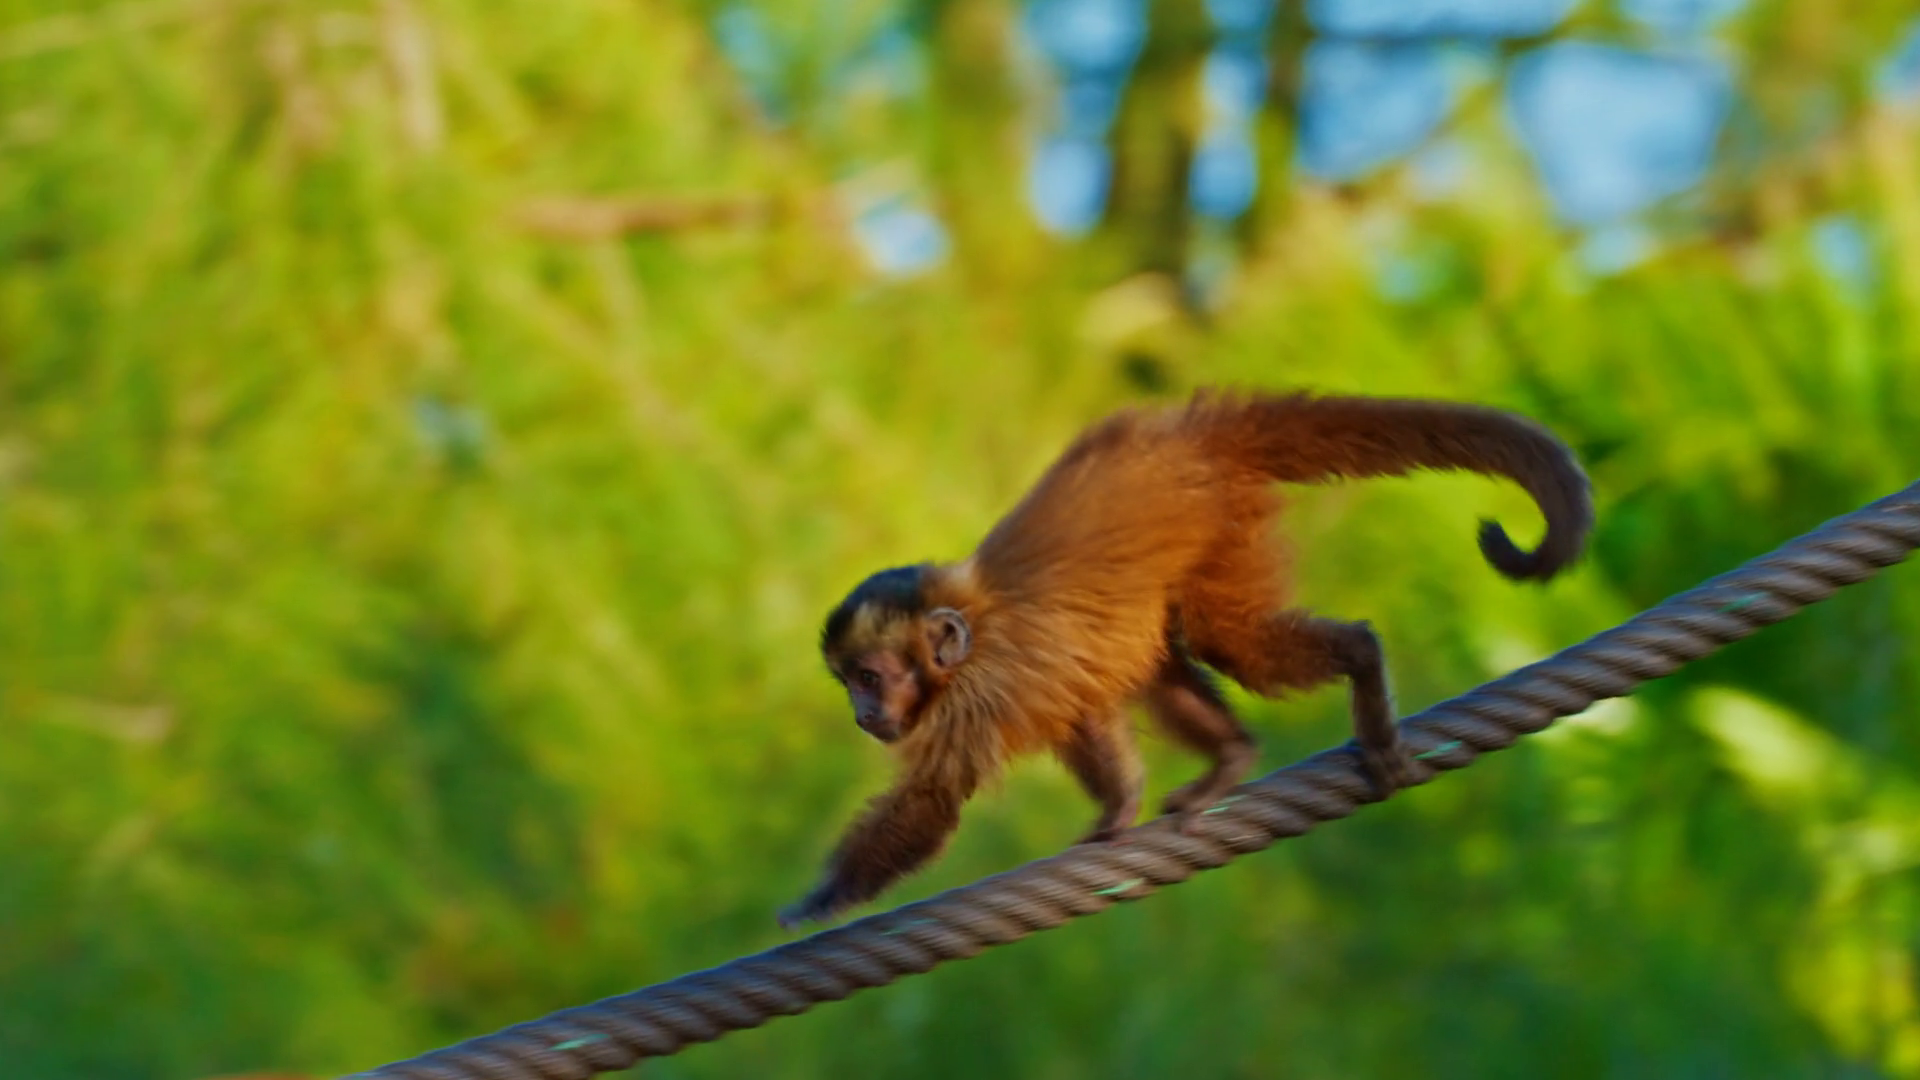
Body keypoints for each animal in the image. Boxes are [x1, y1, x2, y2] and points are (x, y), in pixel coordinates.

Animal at [779, 389, 1592, 928]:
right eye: (848, 684)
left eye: (870, 678)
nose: (862, 714)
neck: (965, 636)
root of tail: (1187, 436)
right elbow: (1086, 707)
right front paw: (1117, 810)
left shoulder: (977, 693)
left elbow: (932, 802)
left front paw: (818, 899)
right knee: (1162, 662)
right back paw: (1231, 758)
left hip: (1217, 520)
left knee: (1229, 640)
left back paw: (1361, 662)